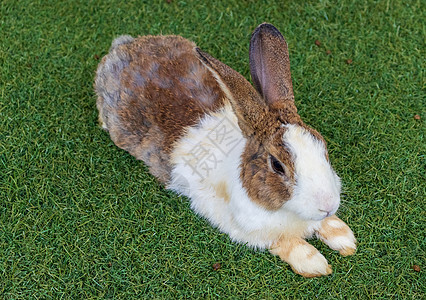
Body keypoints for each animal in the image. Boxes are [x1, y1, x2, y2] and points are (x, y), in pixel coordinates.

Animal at [94, 22, 356, 276]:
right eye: (277, 165)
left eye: (322, 146)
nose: (328, 205)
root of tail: (124, 46)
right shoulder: (249, 230)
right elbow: (287, 243)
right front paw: (316, 264)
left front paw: (344, 237)